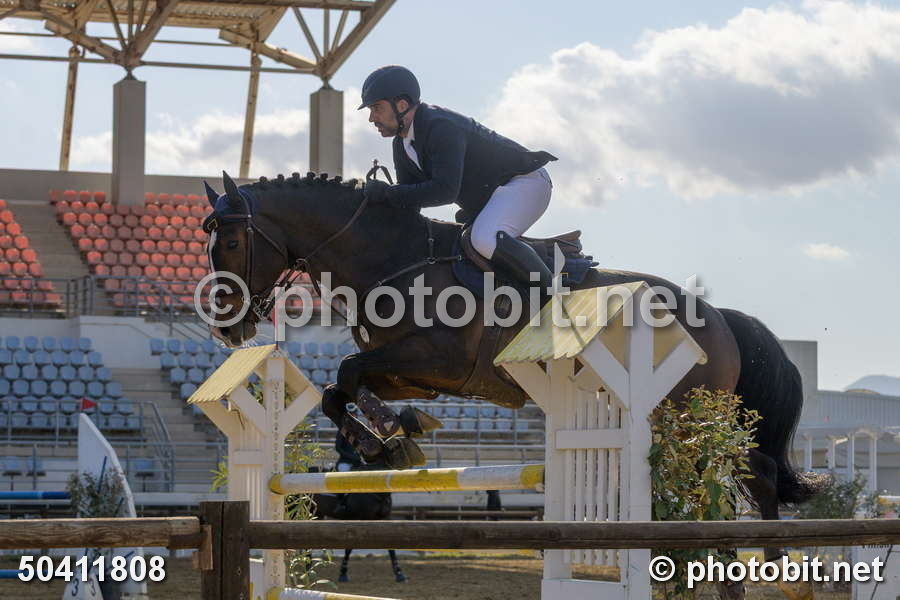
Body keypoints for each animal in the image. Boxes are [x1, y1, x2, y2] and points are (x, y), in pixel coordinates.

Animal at [201, 171, 829, 587]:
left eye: (230, 241)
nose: (228, 326)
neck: (391, 257)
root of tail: (720, 316)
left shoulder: (439, 360)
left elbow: (349, 372)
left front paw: (386, 435)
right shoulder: (416, 374)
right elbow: (340, 389)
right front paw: (389, 438)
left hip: (682, 413)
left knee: (748, 470)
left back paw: (773, 567)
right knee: (739, 472)